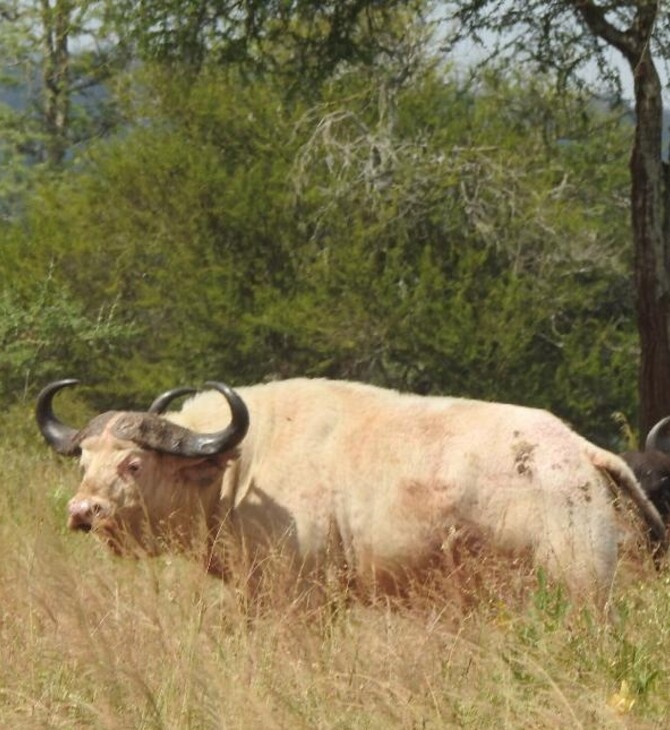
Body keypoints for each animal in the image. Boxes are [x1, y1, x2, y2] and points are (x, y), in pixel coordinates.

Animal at [34, 376, 664, 604]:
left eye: (135, 463)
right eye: (84, 459)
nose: (83, 511)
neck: (241, 468)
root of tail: (580, 451)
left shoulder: (296, 599)